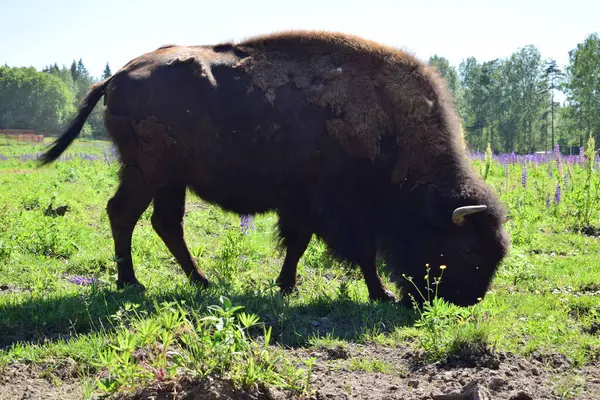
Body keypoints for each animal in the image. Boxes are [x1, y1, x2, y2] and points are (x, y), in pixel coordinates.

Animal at [39, 31, 510, 306]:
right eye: (469, 249)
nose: (469, 300)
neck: (389, 124)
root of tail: (115, 77)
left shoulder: (305, 206)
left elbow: (300, 245)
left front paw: (285, 285)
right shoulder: (336, 208)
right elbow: (357, 251)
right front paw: (383, 294)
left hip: (171, 179)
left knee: (165, 223)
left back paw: (202, 281)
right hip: (147, 172)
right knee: (124, 214)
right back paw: (131, 282)